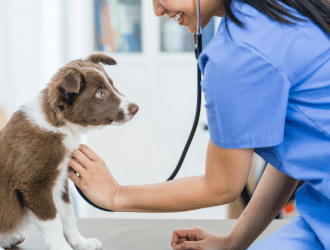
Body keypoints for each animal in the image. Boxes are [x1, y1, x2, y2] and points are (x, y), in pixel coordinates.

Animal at [0, 53, 139, 249]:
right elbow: (53, 223)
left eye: (112, 84)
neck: (59, 125)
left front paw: (81, 242)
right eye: (100, 93)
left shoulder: (60, 181)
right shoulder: (34, 185)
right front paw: (61, 246)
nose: (136, 108)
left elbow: (68, 217)